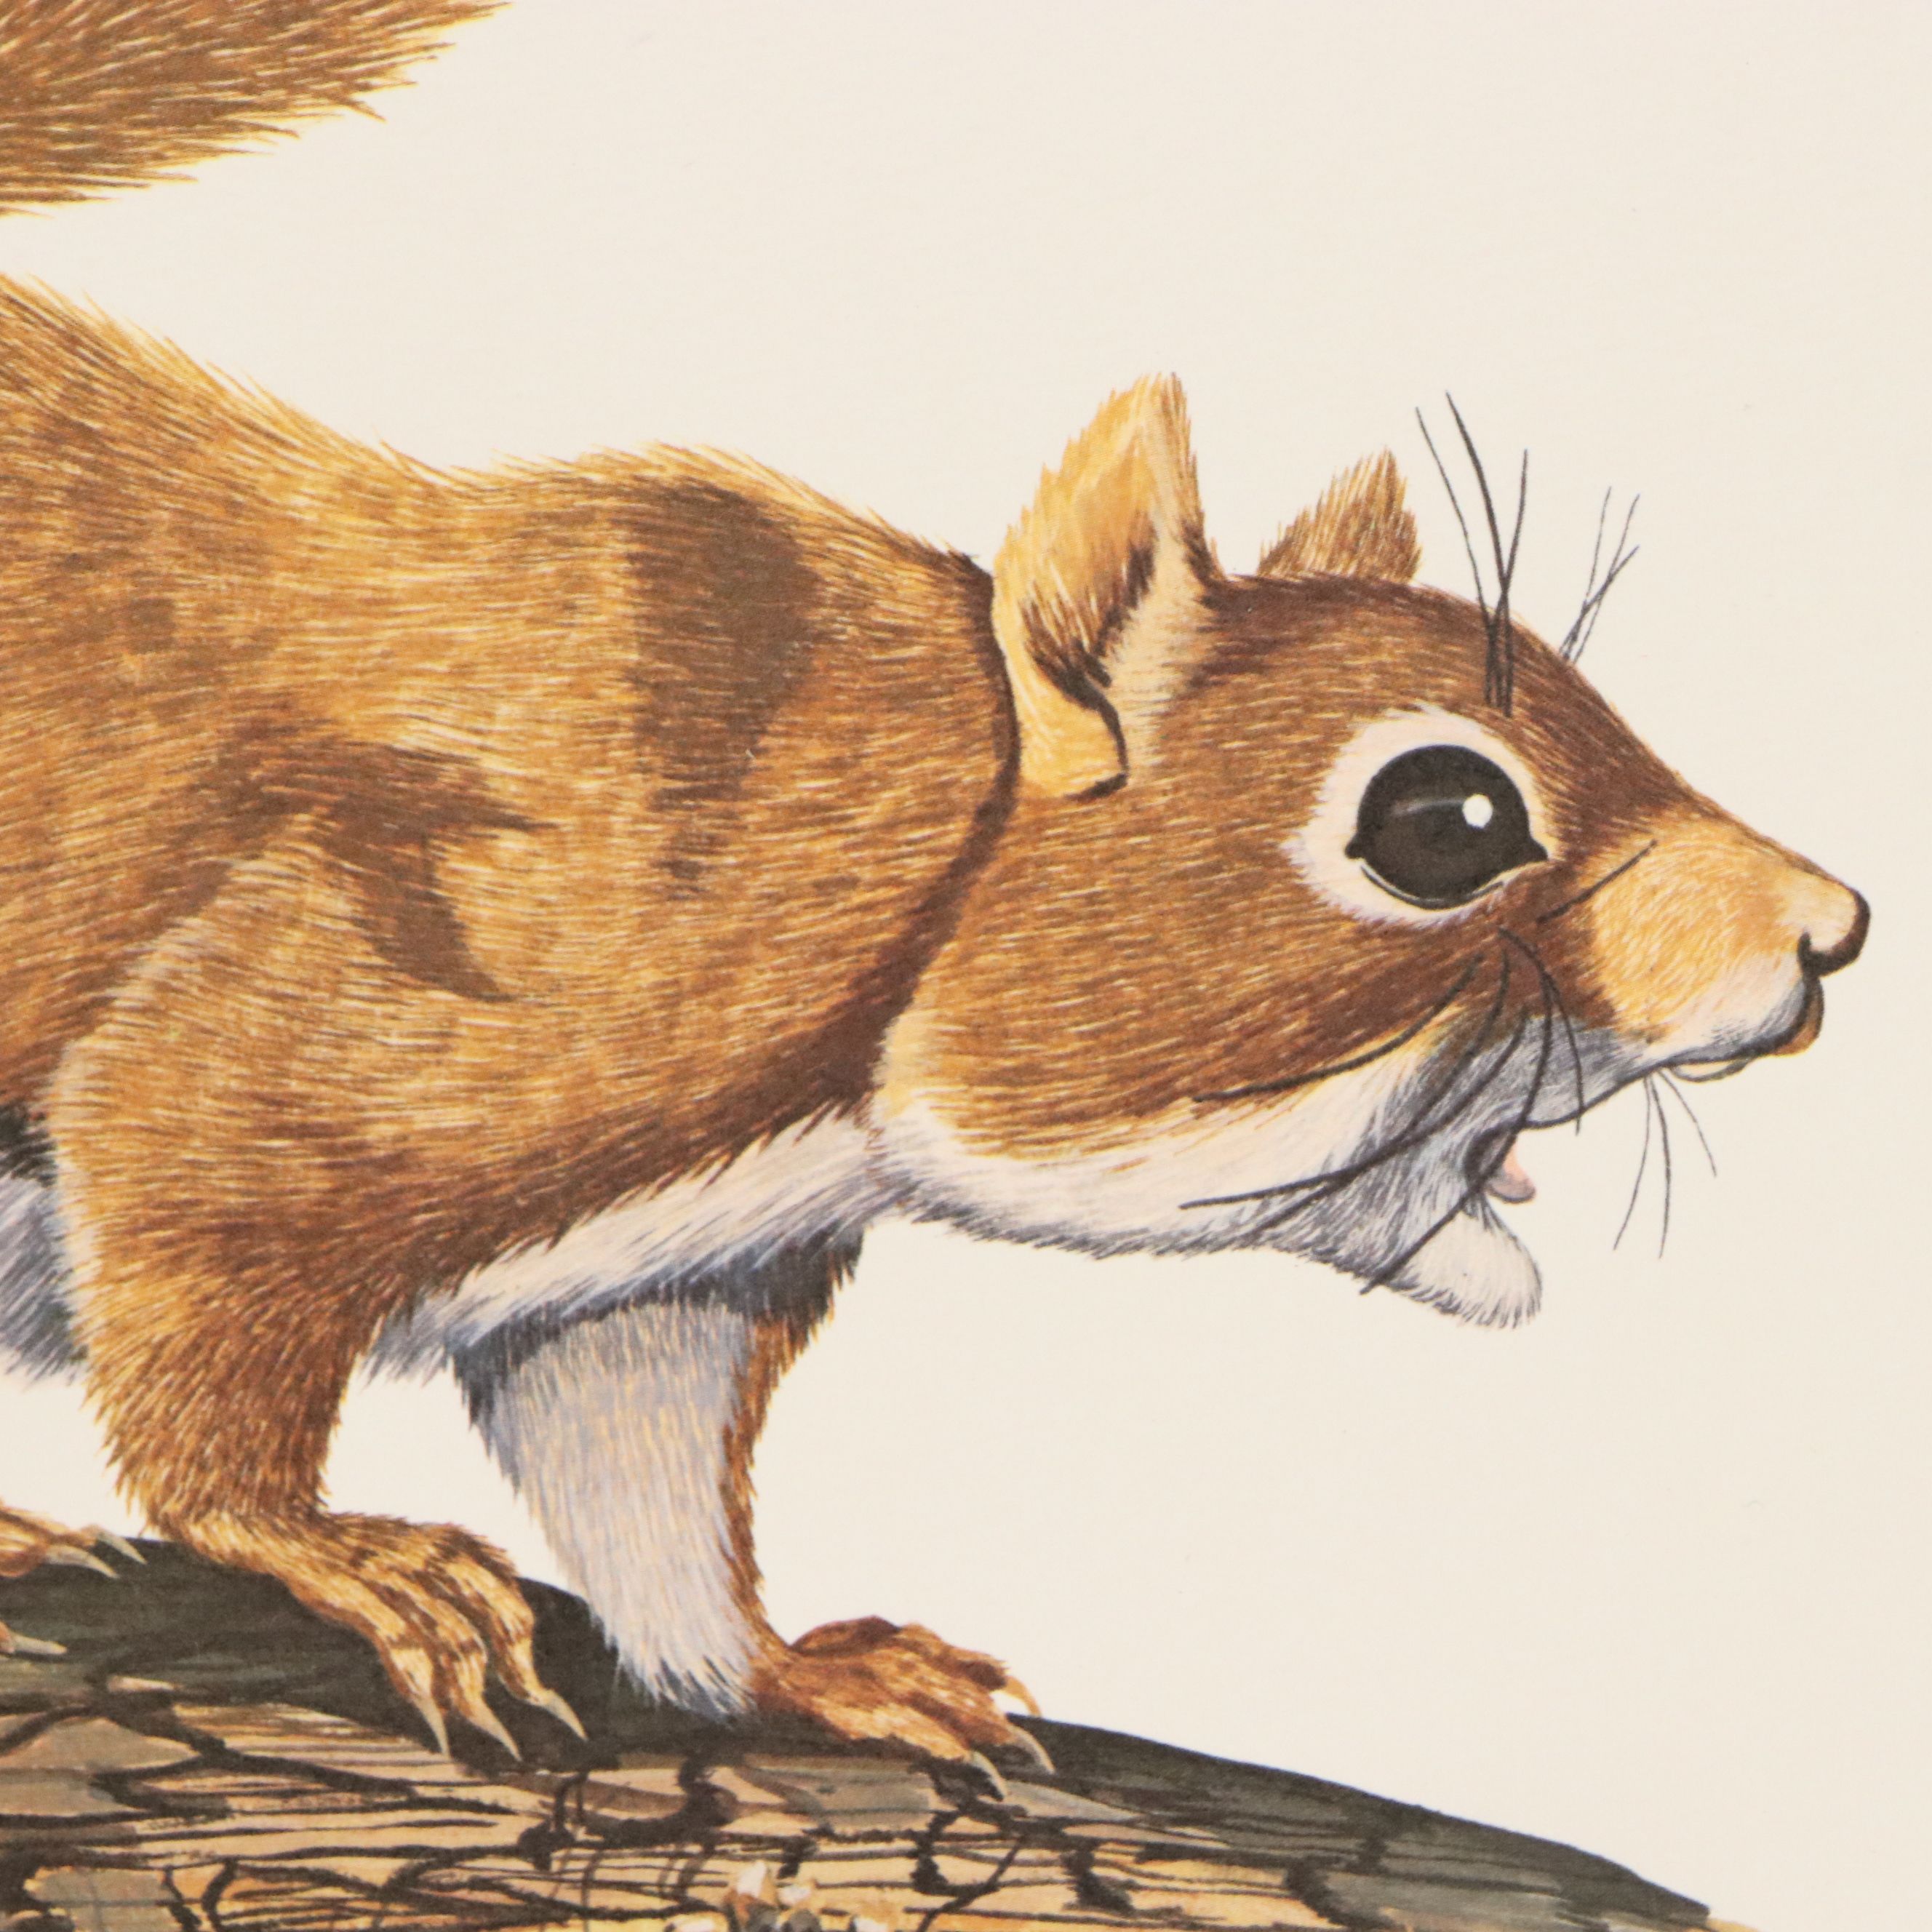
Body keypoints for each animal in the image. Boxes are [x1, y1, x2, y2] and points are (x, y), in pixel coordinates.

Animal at [0, 0, 1868, 1771]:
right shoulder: (355, 1003)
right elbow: (192, 1278)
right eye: (1440, 821)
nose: (1832, 930)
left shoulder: (652, 1283)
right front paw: (338, 1547)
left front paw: (802, 1673)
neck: (890, 843)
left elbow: (647, 1490)